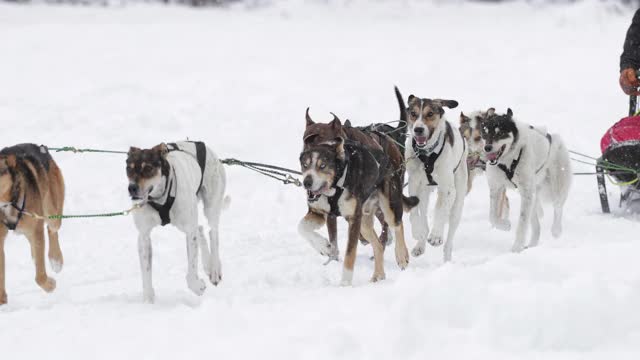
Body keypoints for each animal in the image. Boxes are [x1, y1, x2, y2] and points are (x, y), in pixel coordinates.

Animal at [0, 143, 64, 304]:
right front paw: (2, 300)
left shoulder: (36, 229)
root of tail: (40, 147)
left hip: (51, 213)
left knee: (51, 230)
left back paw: (56, 260)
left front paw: (50, 285)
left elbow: (40, 276)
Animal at [125, 141, 228, 304]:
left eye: (148, 168)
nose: (132, 188)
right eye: (129, 168)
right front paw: (148, 300)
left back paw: (214, 269)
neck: (160, 197)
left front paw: (198, 287)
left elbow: (191, 272)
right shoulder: (143, 236)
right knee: (200, 228)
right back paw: (207, 264)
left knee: (213, 233)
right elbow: (146, 273)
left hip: (211, 207)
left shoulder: (189, 232)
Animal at [402, 93, 468, 262]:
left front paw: (437, 235)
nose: (418, 129)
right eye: (413, 113)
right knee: (424, 217)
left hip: (458, 198)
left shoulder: (448, 189)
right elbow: (414, 213)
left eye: (430, 114)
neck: (427, 155)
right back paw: (420, 243)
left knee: (450, 229)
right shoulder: (414, 184)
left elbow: (441, 210)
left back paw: (446, 257)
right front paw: (417, 231)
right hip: (424, 192)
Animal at [482, 108, 572, 252]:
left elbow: (522, 224)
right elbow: (492, 217)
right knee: (537, 225)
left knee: (558, 207)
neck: (508, 161)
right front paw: (505, 225)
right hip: (533, 196)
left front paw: (516, 248)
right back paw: (533, 244)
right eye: (485, 132)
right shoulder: (496, 188)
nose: (487, 148)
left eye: (500, 133)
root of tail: (554, 138)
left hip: (556, 186)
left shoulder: (526, 192)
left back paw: (556, 230)